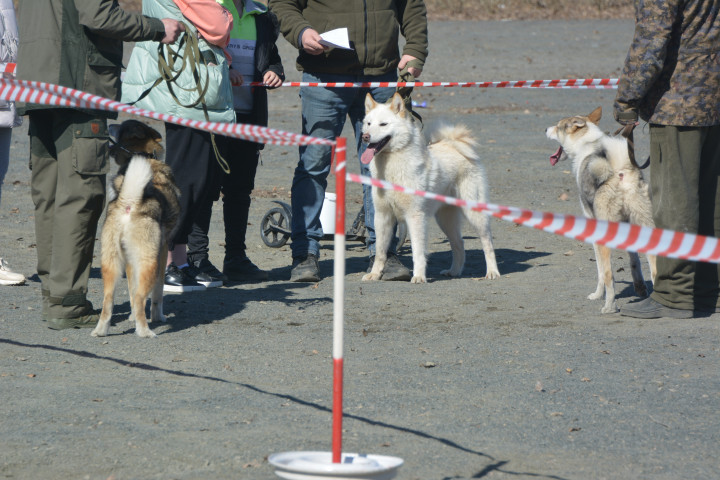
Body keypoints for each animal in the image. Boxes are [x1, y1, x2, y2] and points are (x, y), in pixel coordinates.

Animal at [91, 120, 180, 338]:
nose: (111, 124)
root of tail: (130, 202)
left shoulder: (130, 261)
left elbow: (131, 293)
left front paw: (130, 316)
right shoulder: (162, 252)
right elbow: (157, 294)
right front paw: (158, 317)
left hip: (111, 264)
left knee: (108, 300)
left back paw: (100, 331)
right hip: (148, 262)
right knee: (141, 299)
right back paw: (145, 331)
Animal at [360, 92, 500, 283]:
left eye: (383, 124)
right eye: (368, 123)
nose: (365, 137)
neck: (392, 165)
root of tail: (453, 145)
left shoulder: (415, 216)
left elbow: (418, 251)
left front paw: (419, 276)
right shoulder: (383, 216)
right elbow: (380, 251)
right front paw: (375, 274)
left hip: (474, 213)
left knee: (487, 242)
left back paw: (492, 272)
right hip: (445, 219)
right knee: (459, 244)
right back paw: (454, 271)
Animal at [546, 106, 657, 313]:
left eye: (558, 127)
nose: (546, 129)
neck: (586, 144)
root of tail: (620, 173)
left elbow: (600, 273)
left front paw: (597, 295)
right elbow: (634, 261)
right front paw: (640, 288)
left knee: (608, 275)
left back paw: (609, 306)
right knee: (654, 268)